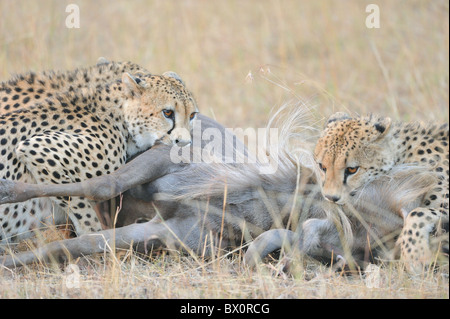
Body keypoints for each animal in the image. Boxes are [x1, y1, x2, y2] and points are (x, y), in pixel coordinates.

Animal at [0, 71, 198, 245]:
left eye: (192, 115)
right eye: (167, 113)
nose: (185, 143)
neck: (120, 119)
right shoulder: (35, 148)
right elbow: (81, 206)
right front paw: (95, 237)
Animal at [314, 112, 448, 272]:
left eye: (352, 169)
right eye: (322, 167)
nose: (331, 197)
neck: (402, 153)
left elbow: (417, 212)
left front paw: (413, 254)